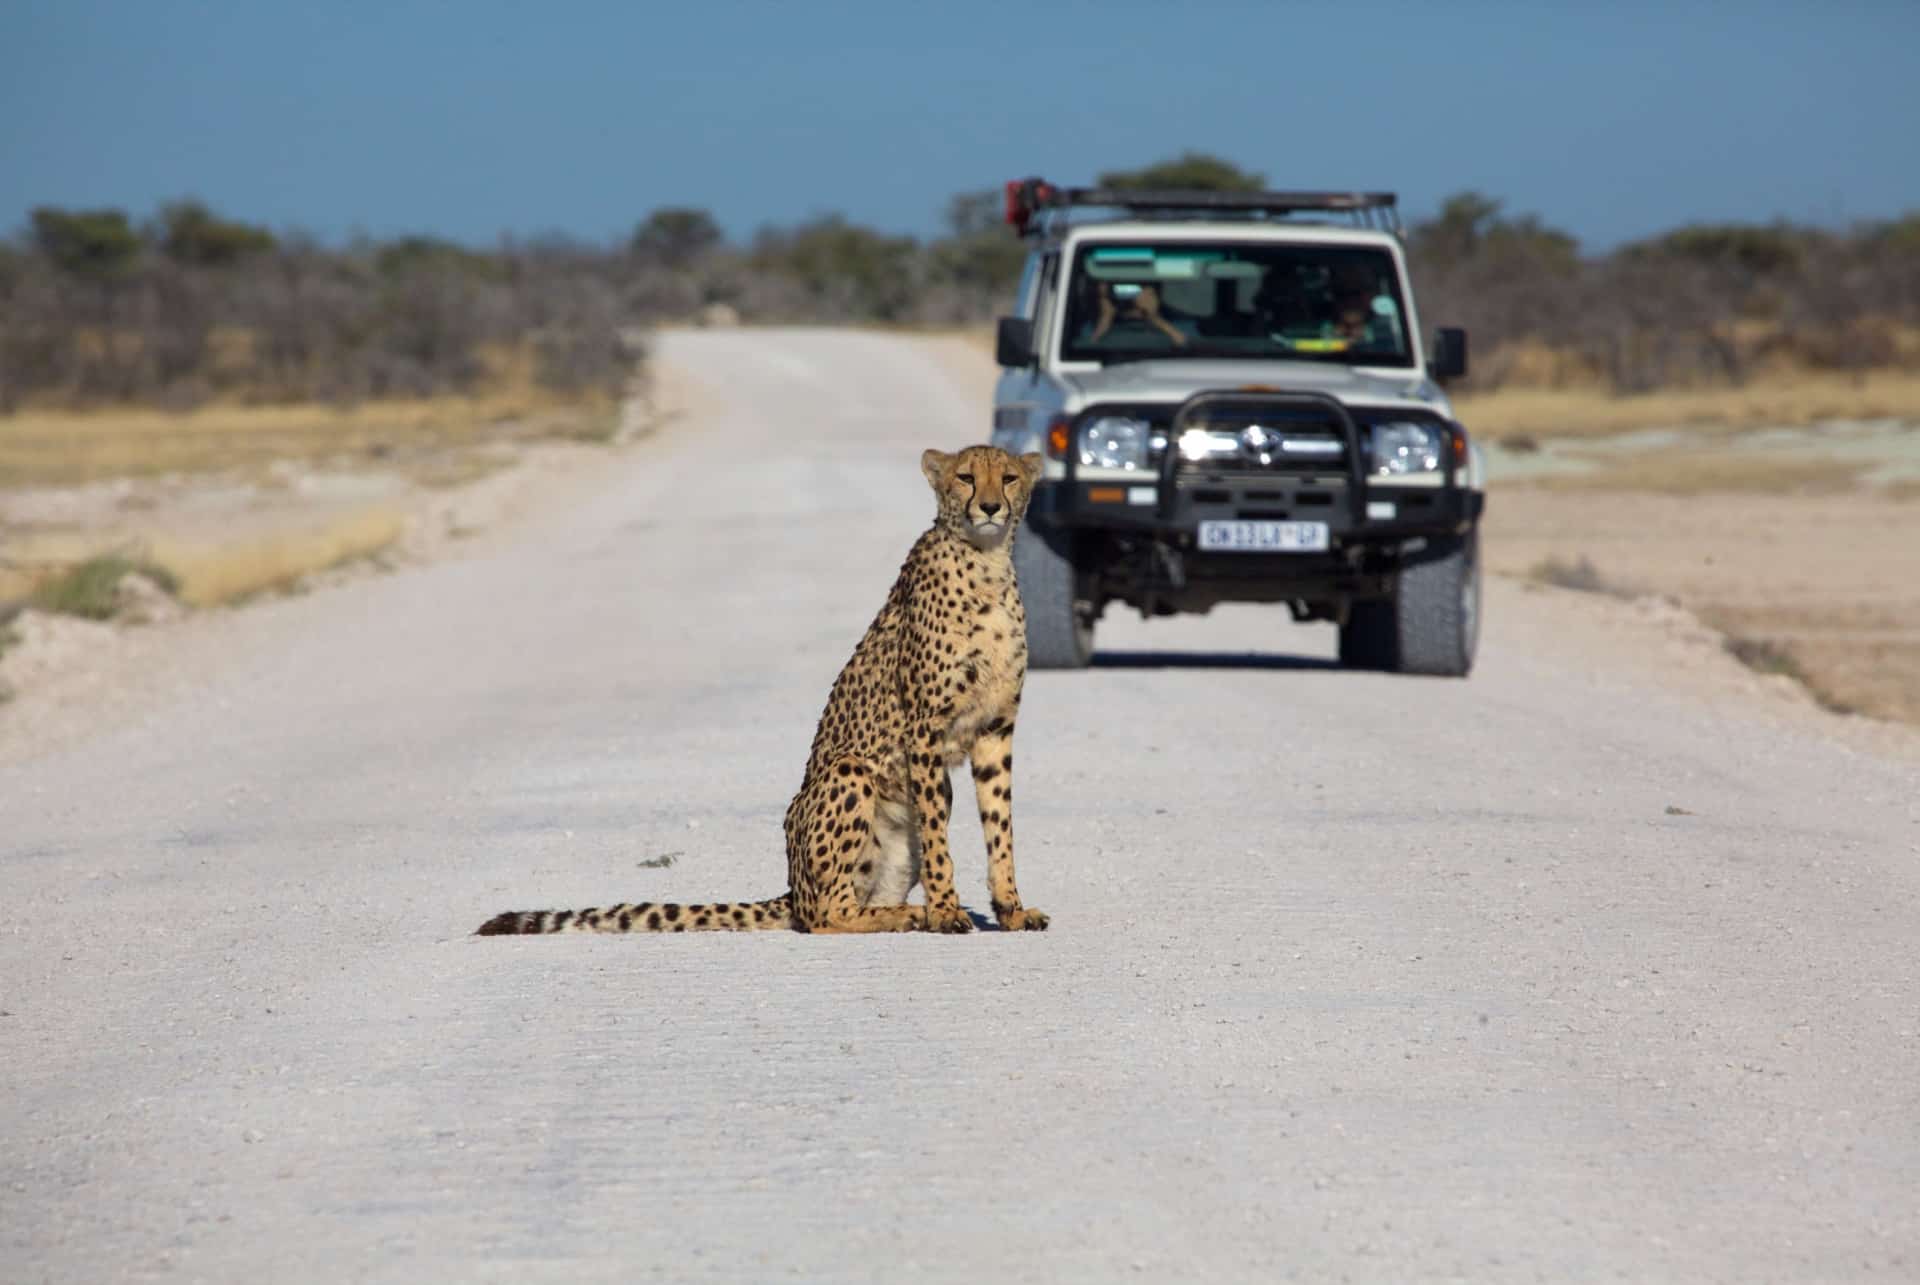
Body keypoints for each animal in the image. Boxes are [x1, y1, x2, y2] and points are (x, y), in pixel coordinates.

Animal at [478, 441, 1052, 933]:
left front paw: (1011, 909)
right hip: (850, 773)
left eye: (1008, 477)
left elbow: (1000, 827)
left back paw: (902, 912)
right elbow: (937, 839)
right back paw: (909, 915)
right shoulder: (925, 731)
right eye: (965, 477)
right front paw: (948, 911)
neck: (986, 563)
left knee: (861, 897)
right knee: (827, 914)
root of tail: (793, 888)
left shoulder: (995, 730)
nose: (990, 507)